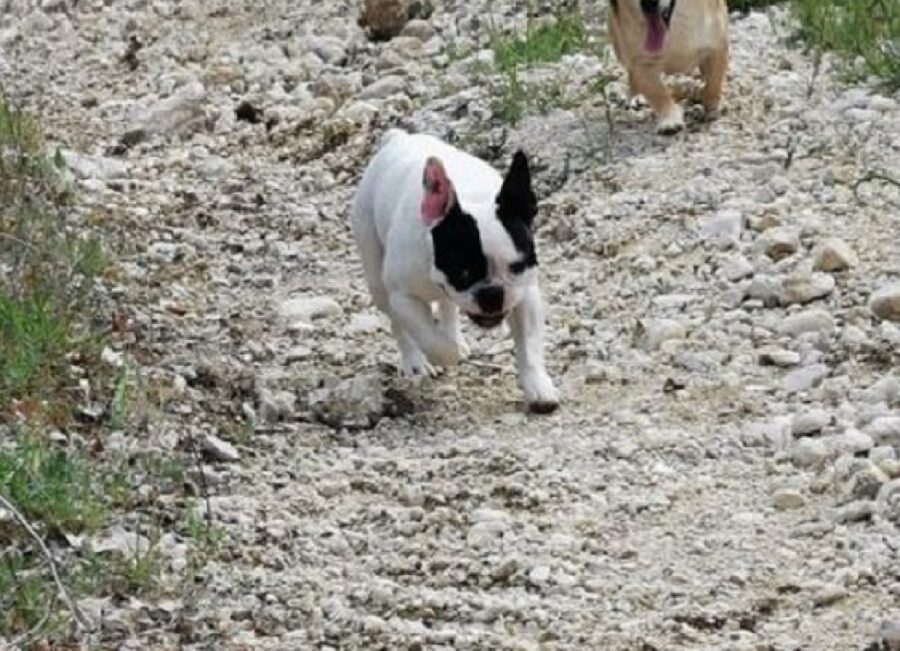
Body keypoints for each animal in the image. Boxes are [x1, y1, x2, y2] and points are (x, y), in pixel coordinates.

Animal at [350, 129, 556, 412]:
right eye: (463, 273)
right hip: (376, 275)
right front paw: (446, 353)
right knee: (398, 323)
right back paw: (415, 361)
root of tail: (398, 137)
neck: (472, 197)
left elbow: (529, 344)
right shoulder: (403, 298)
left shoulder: (525, 293)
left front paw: (537, 386)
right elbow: (430, 338)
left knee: (447, 307)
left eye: (516, 267)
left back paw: (453, 335)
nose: (492, 293)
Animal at [608, 0, 728, 134]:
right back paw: (636, 96)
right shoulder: (643, 65)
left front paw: (713, 106)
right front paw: (670, 119)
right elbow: (659, 93)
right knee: (633, 77)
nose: (648, 5)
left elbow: (714, 84)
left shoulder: (717, 48)